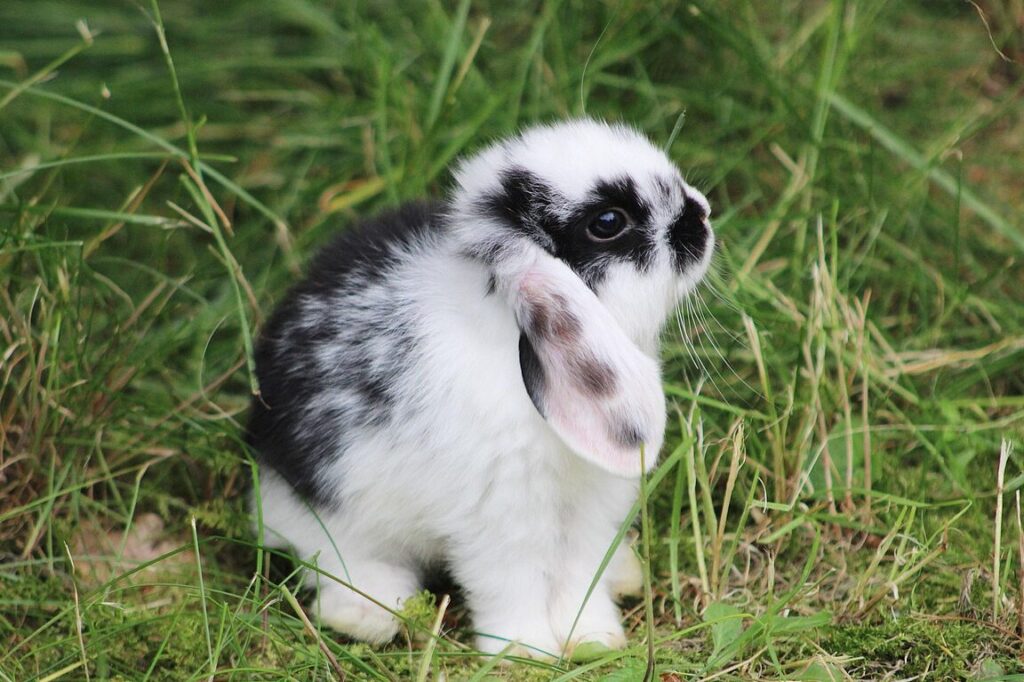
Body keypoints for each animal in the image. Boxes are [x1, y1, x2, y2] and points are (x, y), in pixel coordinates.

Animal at [248, 118, 714, 659]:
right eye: (608, 221)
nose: (701, 214)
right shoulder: (498, 520)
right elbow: (511, 585)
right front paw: (523, 652)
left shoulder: (589, 515)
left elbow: (580, 578)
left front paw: (594, 640)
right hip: (330, 513)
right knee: (335, 563)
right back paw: (370, 616)